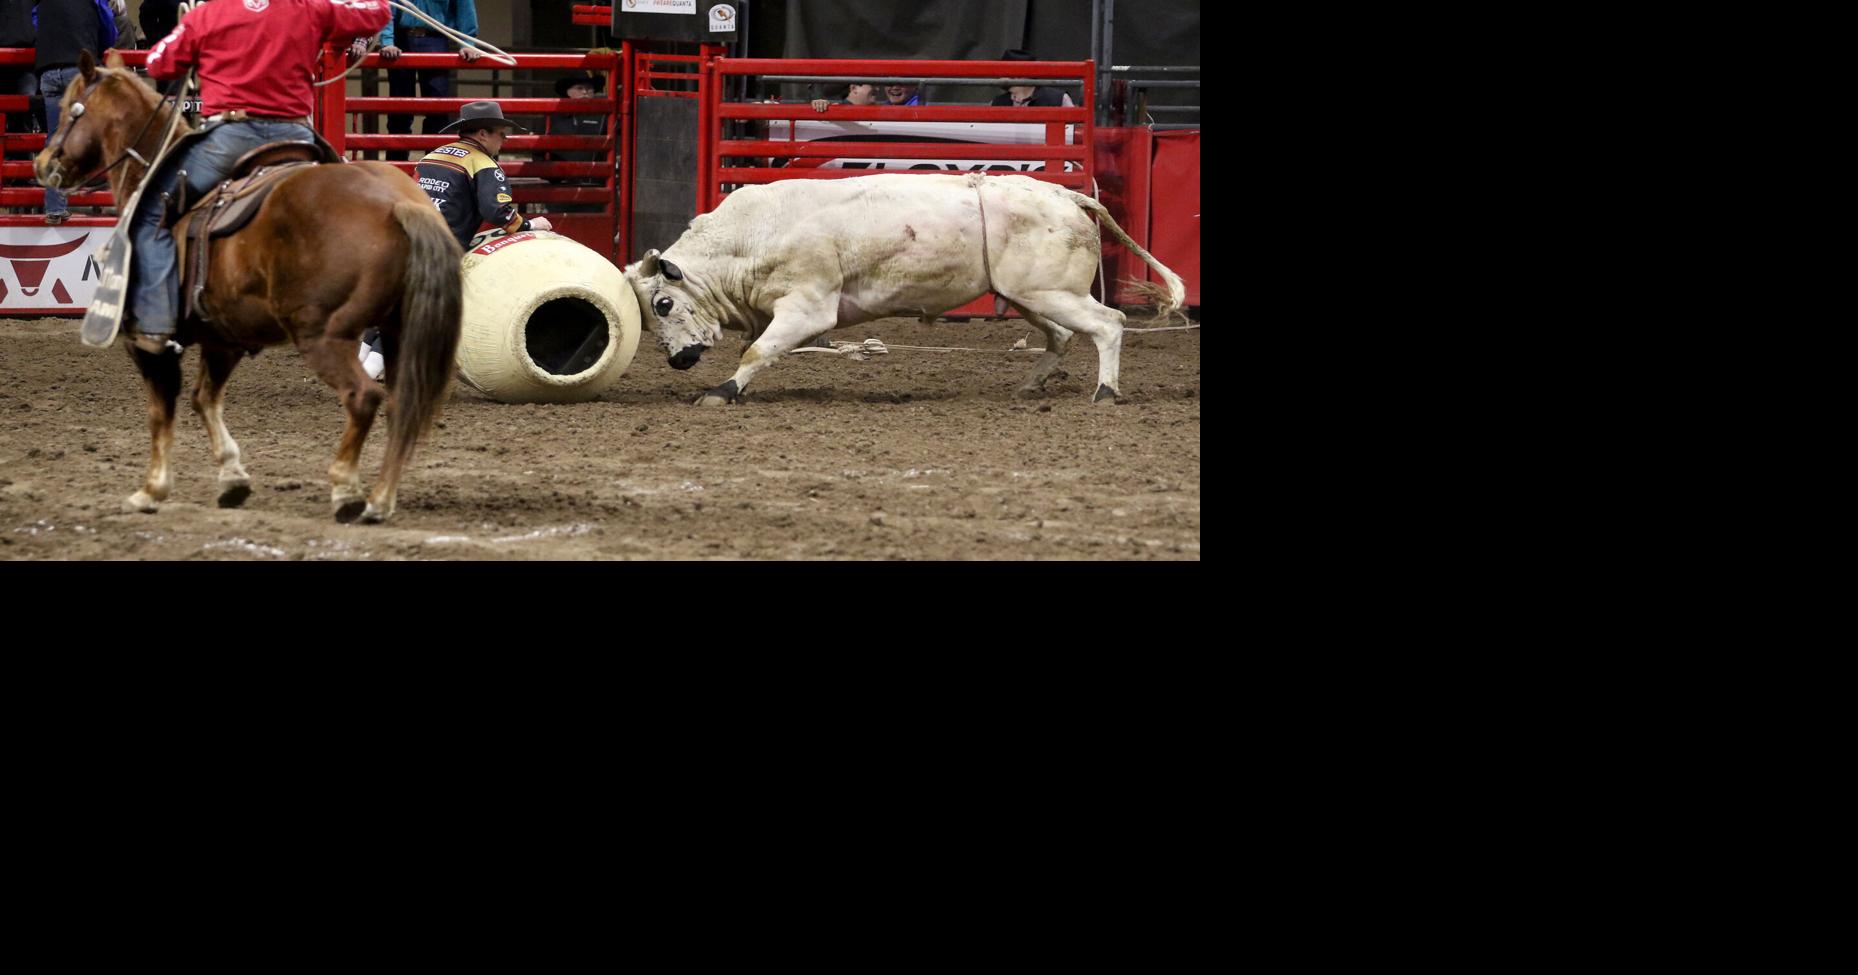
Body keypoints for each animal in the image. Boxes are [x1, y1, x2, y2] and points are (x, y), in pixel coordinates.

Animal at [33, 51, 460, 523]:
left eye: (70, 108)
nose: (43, 162)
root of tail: (397, 204)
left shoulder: (146, 340)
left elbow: (161, 409)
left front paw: (152, 489)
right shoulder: (224, 340)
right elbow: (204, 399)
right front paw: (232, 479)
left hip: (323, 335)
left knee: (363, 397)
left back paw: (347, 491)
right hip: (399, 329)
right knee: (403, 405)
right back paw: (380, 501)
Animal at [620, 172, 1174, 404]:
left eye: (663, 303)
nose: (679, 360)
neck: (750, 237)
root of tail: (1067, 195)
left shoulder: (809, 308)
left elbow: (758, 351)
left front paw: (721, 392)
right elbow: (759, 349)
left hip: (1053, 294)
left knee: (1109, 324)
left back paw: (1106, 392)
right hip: (1030, 296)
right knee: (1060, 337)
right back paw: (1028, 387)